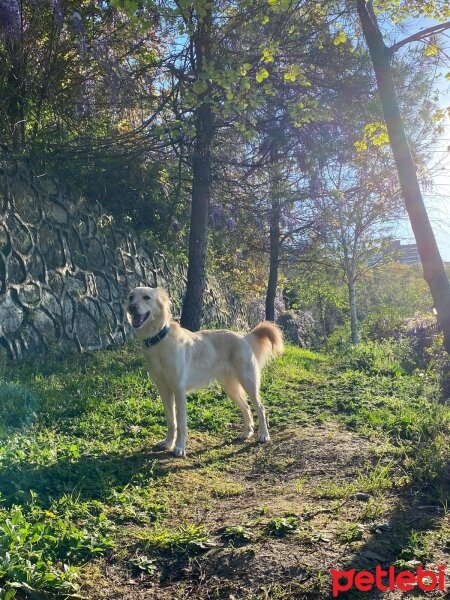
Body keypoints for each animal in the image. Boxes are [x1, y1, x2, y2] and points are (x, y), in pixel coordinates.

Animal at [125, 288, 284, 458]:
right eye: (131, 297)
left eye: (146, 297)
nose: (132, 307)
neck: (159, 339)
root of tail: (244, 336)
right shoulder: (164, 390)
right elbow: (171, 420)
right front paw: (168, 443)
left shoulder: (179, 390)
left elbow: (181, 423)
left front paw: (179, 448)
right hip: (230, 388)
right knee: (246, 407)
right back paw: (246, 433)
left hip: (248, 382)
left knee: (260, 408)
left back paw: (264, 435)